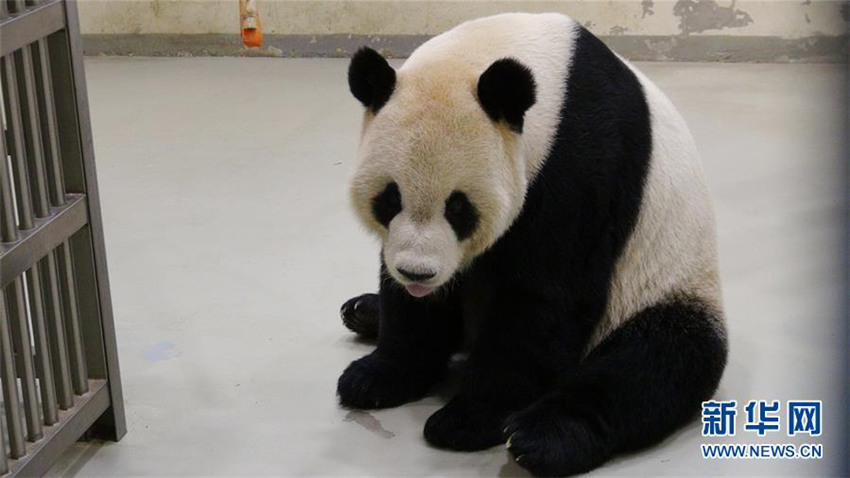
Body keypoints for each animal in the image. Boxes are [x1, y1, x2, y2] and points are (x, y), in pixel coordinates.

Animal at [337, 12, 727, 476]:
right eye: (390, 198)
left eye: (458, 207)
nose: (418, 273)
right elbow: (410, 303)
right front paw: (376, 377)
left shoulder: (583, 161)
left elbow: (542, 297)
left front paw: (468, 420)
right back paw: (363, 310)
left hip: (662, 284)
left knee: (653, 363)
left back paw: (539, 438)